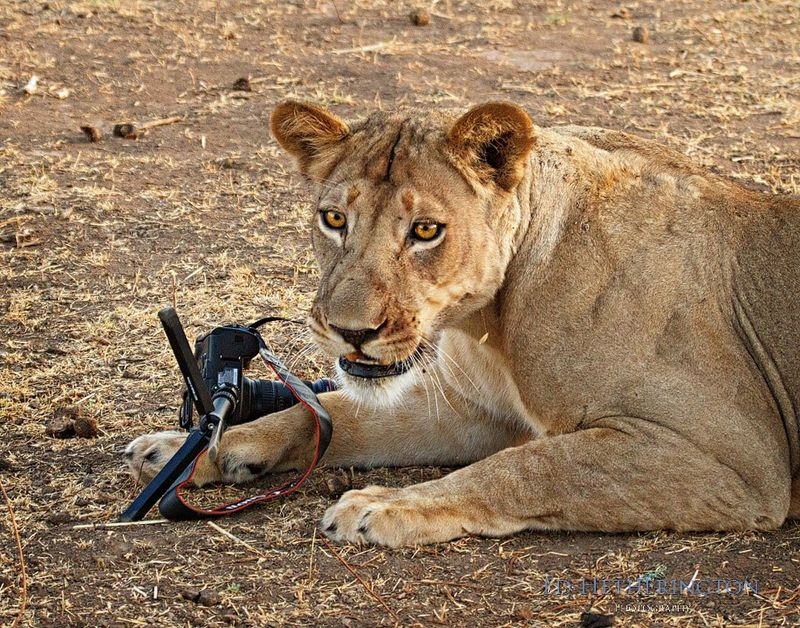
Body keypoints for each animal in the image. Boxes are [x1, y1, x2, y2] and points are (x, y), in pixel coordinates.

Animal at [125, 100, 800, 548]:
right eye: (334, 219)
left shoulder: (735, 461)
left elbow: (529, 467)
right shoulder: (475, 409)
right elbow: (332, 413)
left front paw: (383, 505)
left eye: (426, 230)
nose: (350, 332)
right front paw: (189, 450)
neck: (489, 323)